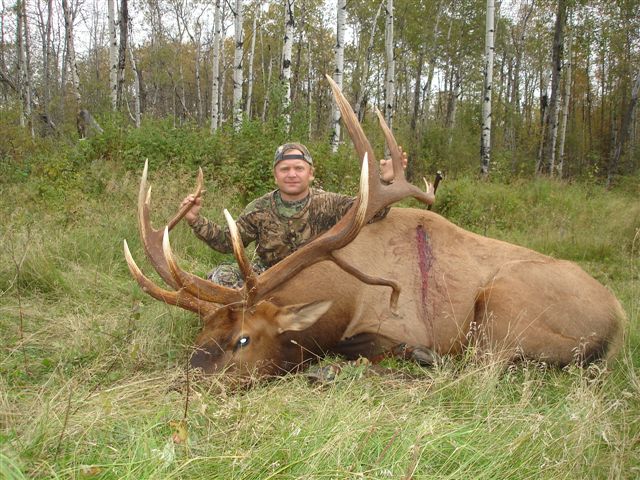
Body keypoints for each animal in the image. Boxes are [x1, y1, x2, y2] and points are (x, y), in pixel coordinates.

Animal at [123, 76, 625, 378]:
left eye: (242, 339)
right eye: (202, 333)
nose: (188, 380)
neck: (346, 299)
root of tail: (618, 320)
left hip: (504, 303)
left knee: (485, 363)